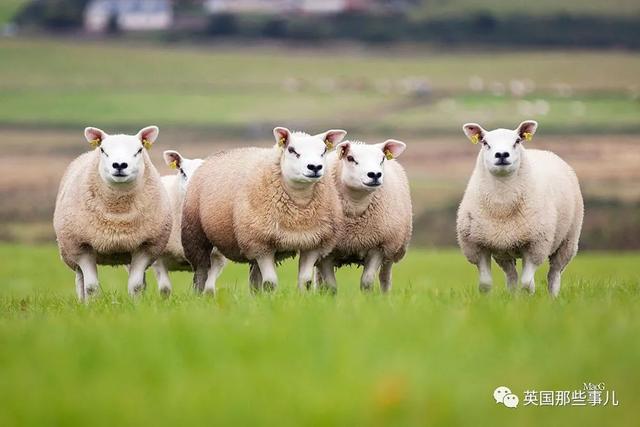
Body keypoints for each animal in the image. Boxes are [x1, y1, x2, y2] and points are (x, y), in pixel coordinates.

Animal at [53, 126, 171, 300]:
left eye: (139, 150)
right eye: (103, 150)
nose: (120, 165)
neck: (118, 214)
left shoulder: (146, 246)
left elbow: (136, 286)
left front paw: (136, 304)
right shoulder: (82, 246)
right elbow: (91, 287)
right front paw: (92, 304)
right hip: (70, 251)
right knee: (80, 281)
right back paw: (82, 301)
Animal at [182, 127, 348, 292]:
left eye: (324, 150)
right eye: (291, 150)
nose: (315, 167)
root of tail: (217, 154)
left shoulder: (313, 243)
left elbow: (305, 281)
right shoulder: (260, 243)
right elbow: (270, 283)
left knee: (254, 278)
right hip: (195, 236)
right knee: (201, 272)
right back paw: (198, 293)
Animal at [316, 139, 416, 292]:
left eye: (382, 158)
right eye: (350, 158)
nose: (375, 174)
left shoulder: (378, 246)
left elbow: (367, 281)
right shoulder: (327, 250)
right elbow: (331, 285)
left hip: (391, 248)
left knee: (385, 277)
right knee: (318, 278)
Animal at [456, 118, 584, 296]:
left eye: (517, 141)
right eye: (485, 142)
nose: (502, 155)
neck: (502, 205)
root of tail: (544, 151)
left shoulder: (535, 246)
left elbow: (527, 284)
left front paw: (526, 300)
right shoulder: (477, 246)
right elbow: (485, 284)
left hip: (567, 241)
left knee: (554, 274)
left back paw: (553, 297)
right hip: (503, 250)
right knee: (511, 276)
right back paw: (511, 295)